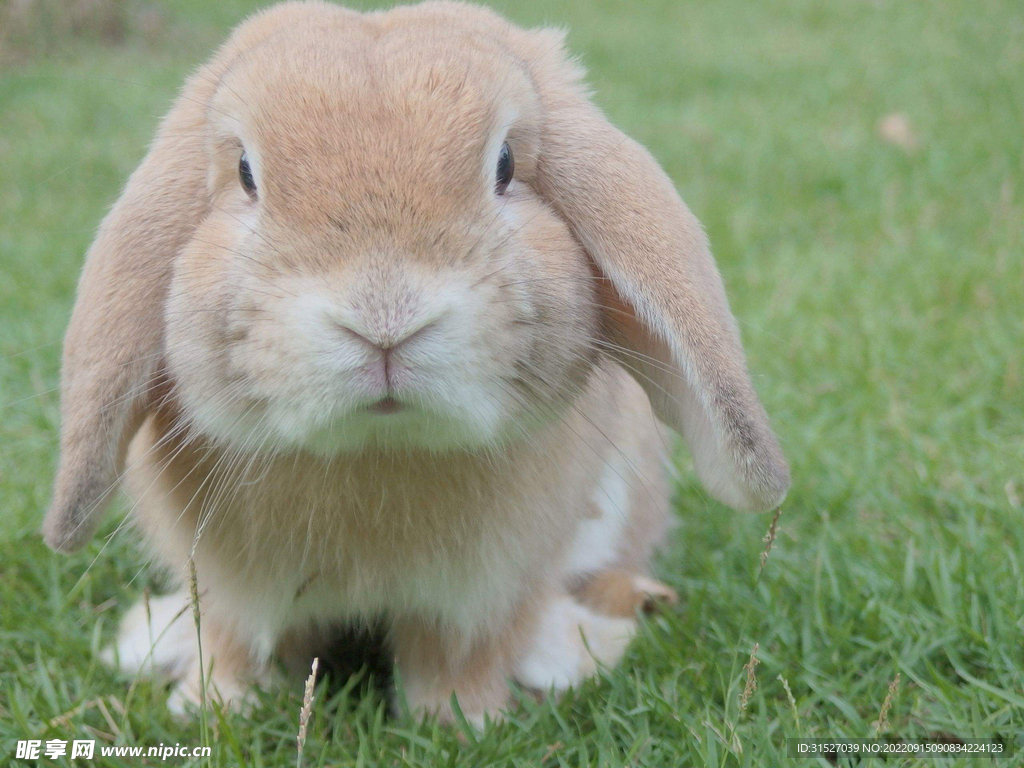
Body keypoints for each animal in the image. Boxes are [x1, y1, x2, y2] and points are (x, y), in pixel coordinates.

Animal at [41, 0, 790, 724]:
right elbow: (236, 643)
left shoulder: (480, 595)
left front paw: (462, 721)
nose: (384, 318)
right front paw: (211, 708)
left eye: (506, 165)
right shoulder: (230, 590)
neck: (377, 450)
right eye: (247, 174)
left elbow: (456, 655)